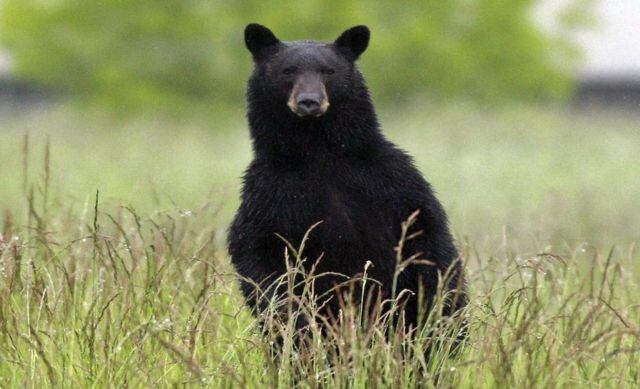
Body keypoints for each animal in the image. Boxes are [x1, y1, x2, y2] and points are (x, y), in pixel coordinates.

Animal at [228, 22, 468, 336]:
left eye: (328, 71)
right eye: (287, 70)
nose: (309, 102)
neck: (318, 151)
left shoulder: (393, 180)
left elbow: (428, 237)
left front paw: (437, 311)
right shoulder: (269, 191)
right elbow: (258, 253)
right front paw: (292, 317)